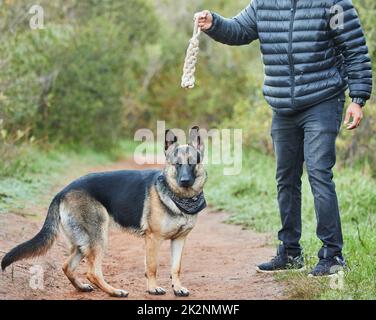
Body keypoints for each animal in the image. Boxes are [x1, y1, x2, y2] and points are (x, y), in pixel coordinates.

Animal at [1, 126, 207, 296]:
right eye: (177, 164)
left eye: (192, 163)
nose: (185, 181)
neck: (179, 197)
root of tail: (63, 191)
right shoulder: (153, 239)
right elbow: (152, 266)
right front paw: (153, 288)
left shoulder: (179, 240)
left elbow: (176, 267)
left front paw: (178, 288)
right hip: (98, 236)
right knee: (92, 272)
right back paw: (114, 291)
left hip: (83, 243)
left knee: (67, 266)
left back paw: (82, 287)